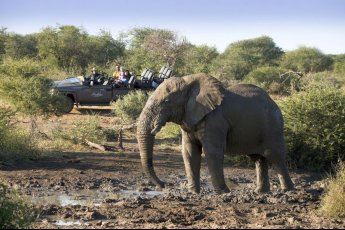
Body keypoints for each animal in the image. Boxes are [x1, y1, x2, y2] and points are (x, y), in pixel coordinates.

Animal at [136, 73, 292, 194]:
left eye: (166, 101)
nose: (164, 185)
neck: (188, 82)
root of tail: (275, 103)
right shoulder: (188, 119)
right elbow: (189, 152)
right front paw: (193, 192)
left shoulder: (215, 119)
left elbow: (212, 152)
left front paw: (223, 193)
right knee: (259, 159)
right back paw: (261, 192)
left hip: (273, 127)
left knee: (275, 156)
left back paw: (287, 191)